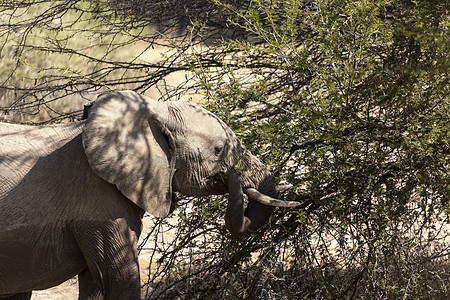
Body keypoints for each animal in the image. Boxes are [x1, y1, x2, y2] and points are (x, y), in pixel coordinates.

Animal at [0, 90, 298, 298]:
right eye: (218, 150)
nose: (232, 175)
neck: (154, 111)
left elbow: (96, 284)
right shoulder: (98, 204)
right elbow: (120, 280)